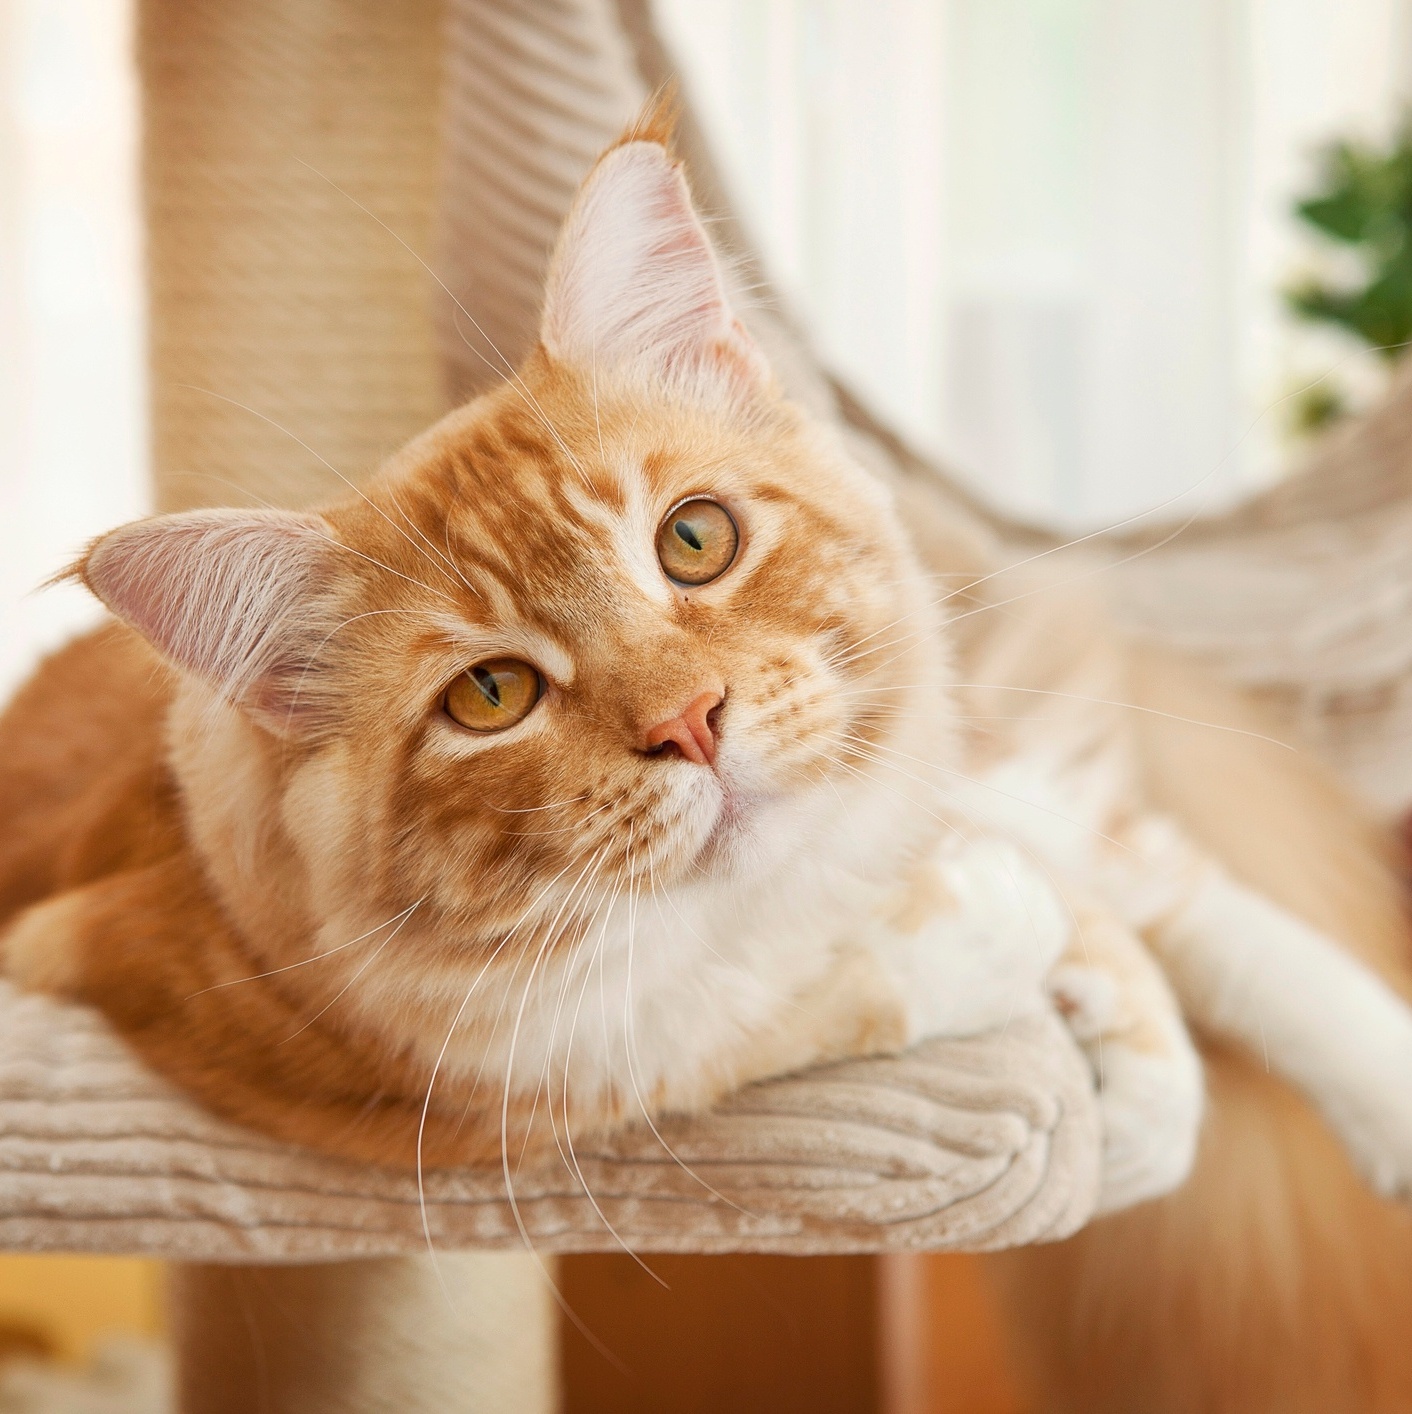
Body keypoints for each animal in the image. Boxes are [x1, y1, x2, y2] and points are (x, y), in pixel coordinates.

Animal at [2, 113, 1412, 1414]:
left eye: (693, 539)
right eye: (491, 695)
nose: (688, 719)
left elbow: (1153, 924)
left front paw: (1140, 1083)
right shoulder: (449, 1074)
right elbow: (778, 1005)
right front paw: (998, 950)